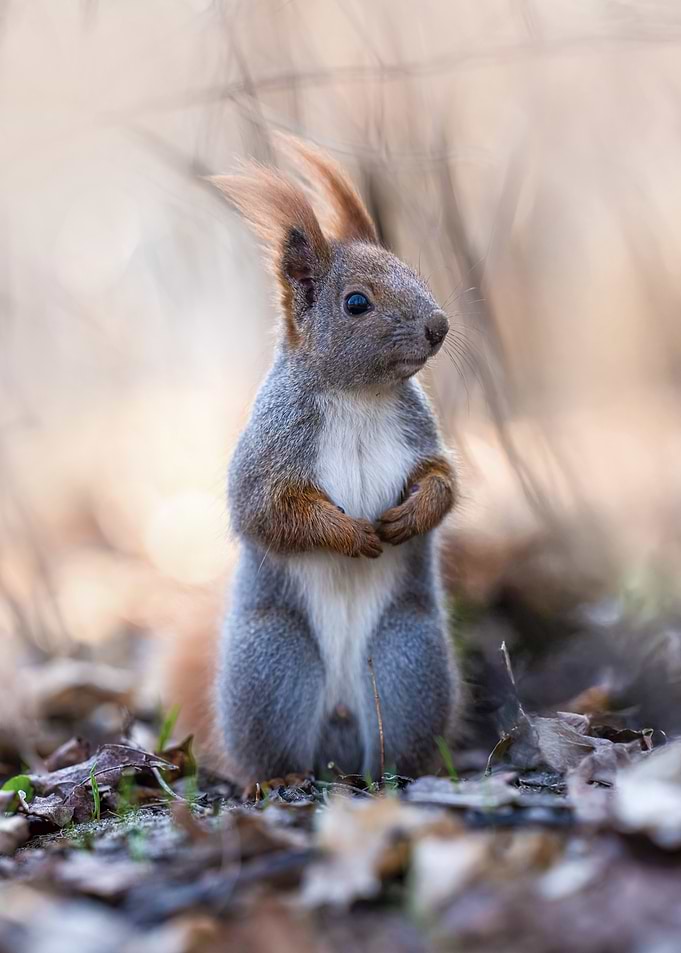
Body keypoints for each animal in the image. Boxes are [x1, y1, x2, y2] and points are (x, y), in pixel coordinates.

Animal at [178, 136, 460, 786]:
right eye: (356, 303)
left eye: (414, 272)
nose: (438, 326)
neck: (359, 396)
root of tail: (339, 724)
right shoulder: (268, 451)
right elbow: (269, 512)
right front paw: (350, 535)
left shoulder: (421, 434)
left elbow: (442, 480)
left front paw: (412, 515)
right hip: (273, 663)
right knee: (274, 746)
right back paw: (280, 778)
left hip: (409, 657)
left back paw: (398, 774)